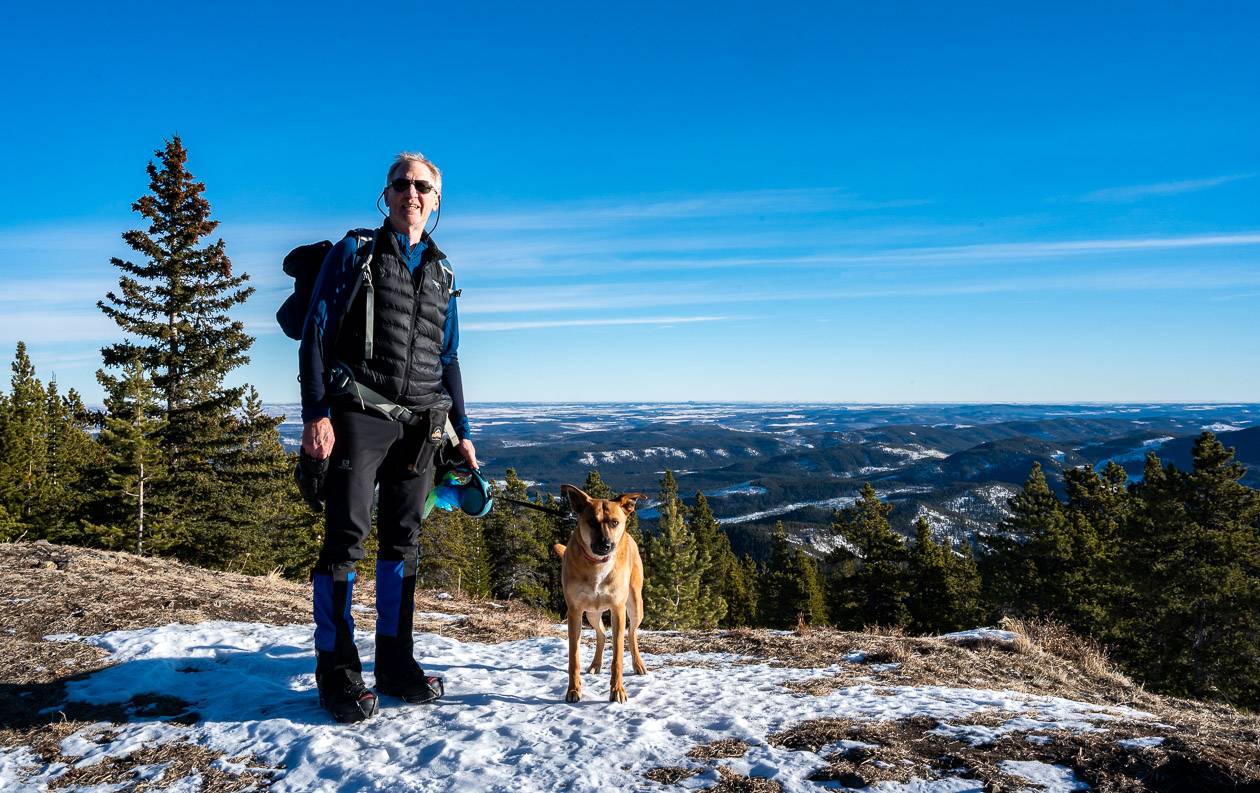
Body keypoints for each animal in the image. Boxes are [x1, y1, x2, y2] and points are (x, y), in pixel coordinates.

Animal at [554, 481, 645, 700]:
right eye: (591, 522)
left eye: (614, 522)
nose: (606, 545)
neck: (597, 564)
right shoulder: (575, 611)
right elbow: (574, 657)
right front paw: (573, 690)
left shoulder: (618, 609)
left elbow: (618, 656)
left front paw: (617, 690)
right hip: (591, 612)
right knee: (601, 633)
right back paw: (596, 664)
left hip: (635, 604)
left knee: (632, 633)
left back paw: (638, 664)